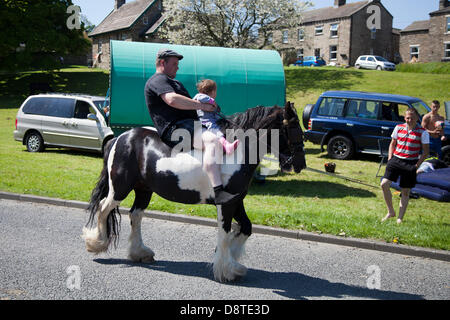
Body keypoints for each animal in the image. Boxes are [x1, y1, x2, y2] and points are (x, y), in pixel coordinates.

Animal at [81, 101, 306, 282]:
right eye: (294, 128)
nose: (300, 165)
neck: (237, 150)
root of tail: (121, 138)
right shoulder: (226, 204)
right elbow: (225, 233)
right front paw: (226, 269)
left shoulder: (237, 200)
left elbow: (246, 228)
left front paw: (233, 262)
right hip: (119, 189)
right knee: (103, 208)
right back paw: (96, 242)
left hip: (144, 190)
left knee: (135, 215)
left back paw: (139, 252)